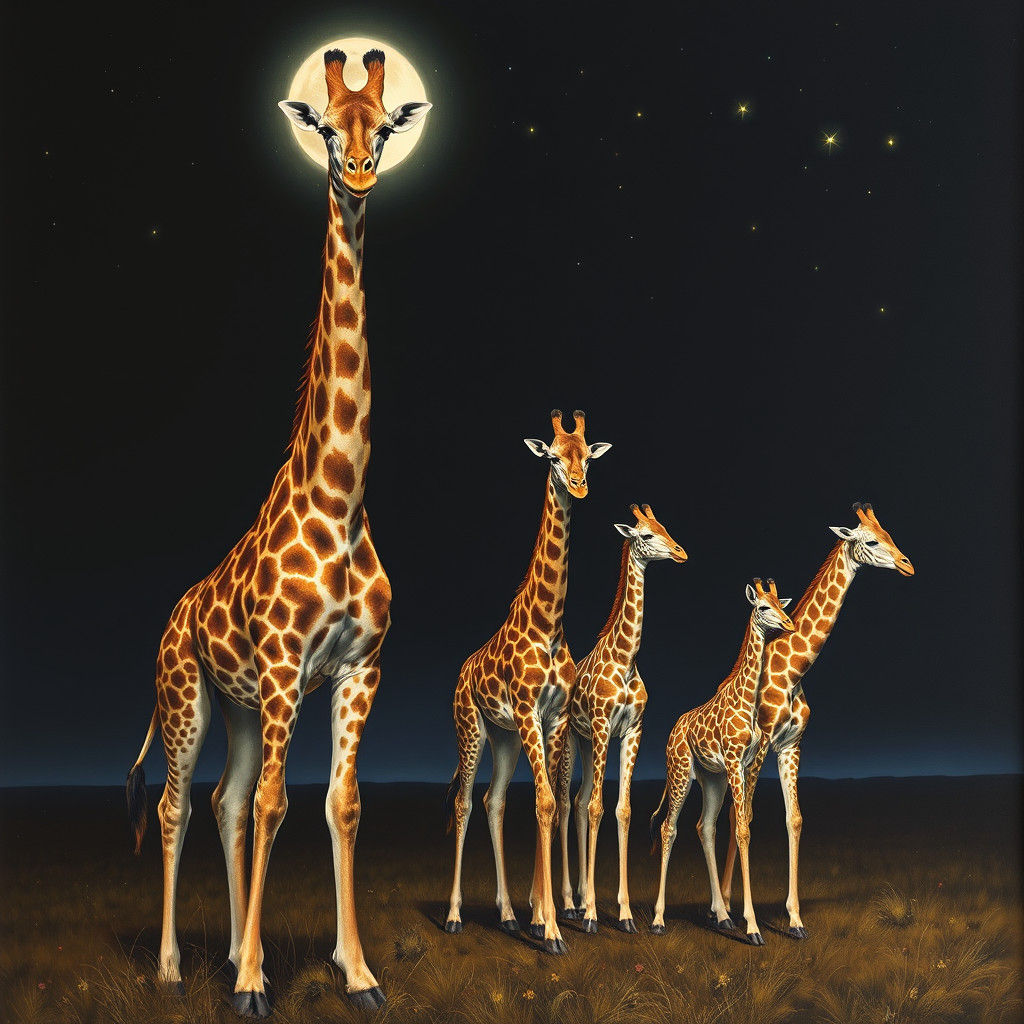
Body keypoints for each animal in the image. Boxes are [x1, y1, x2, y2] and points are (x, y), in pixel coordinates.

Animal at [123, 49, 430, 1017]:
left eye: (386, 124)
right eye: (326, 127)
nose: (360, 174)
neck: (341, 501)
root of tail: (173, 616)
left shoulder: (360, 667)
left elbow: (340, 804)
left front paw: (356, 973)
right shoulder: (291, 665)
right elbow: (275, 807)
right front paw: (258, 982)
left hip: (243, 705)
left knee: (222, 798)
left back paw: (225, 953)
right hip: (187, 696)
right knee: (180, 804)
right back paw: (178, 966)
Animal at [443, 409, 612, 953]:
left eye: (587, 457)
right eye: (553, 457)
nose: (578, 486)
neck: (548, 623)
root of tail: (460, 673)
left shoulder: (551, 718)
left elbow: (551, 803)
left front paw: (542, 916)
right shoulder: (527, 709)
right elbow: (543, 801)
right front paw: (553, 929)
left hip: (506, 738)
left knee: (493, 802)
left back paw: (509, 915)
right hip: (472, 729)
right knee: (463, 802)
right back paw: (454, 916)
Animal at [556, 503, 687, 934]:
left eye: (665, 527)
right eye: (645, 535)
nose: (679, 552)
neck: (626, 659)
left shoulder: (632, 731)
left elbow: (621, 809)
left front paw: (625, 913)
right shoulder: (601, 727)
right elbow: (597, 807)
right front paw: (593, 915)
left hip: (584, 742)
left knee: (579, 800)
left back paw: (582, 897)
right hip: (570, 739)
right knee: (567, 804)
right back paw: (570, 903)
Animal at [650, 579, 795, 944]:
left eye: (781, 604)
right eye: (763, 607)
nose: (788, 625)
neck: (748, 699)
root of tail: (674, 730)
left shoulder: (742, 764)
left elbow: (741, 825)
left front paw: (736, 917)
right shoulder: (732, 761)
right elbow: (742, 829)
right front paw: (753, 927)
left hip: (711, 778)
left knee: (705, 826)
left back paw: (723, 916)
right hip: (681, 772)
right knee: (669, 827)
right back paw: (658, 920)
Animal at [719, 502, 914, 938]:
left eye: (889, 533)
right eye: (870, 540)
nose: (907, 565)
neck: (793, 672)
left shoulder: (792, 745)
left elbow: (794, 819)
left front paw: (794, 920)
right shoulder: (761, 746)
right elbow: (748, 817)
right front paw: (742, 915)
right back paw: (720, 905)